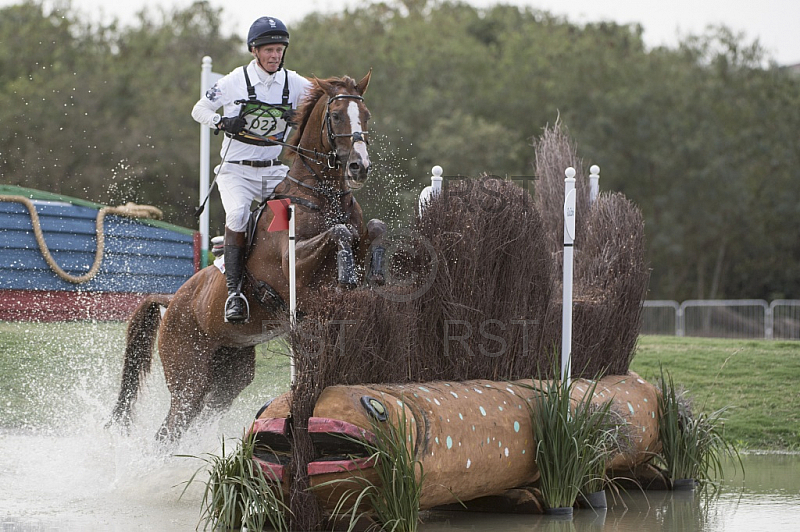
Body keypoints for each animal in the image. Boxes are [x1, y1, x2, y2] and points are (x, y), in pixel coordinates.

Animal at [111, 72, 386, 442]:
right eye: (337, 115)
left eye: (366, 116)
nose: (359, 167)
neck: (322, 195)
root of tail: (173, 299)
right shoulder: (295, 264)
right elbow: (339, 234)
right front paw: (346, 273)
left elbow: (373, 228)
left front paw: (376, 274)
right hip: (188, 378)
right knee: (168, 431)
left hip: (228, 377)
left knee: (201, 415)